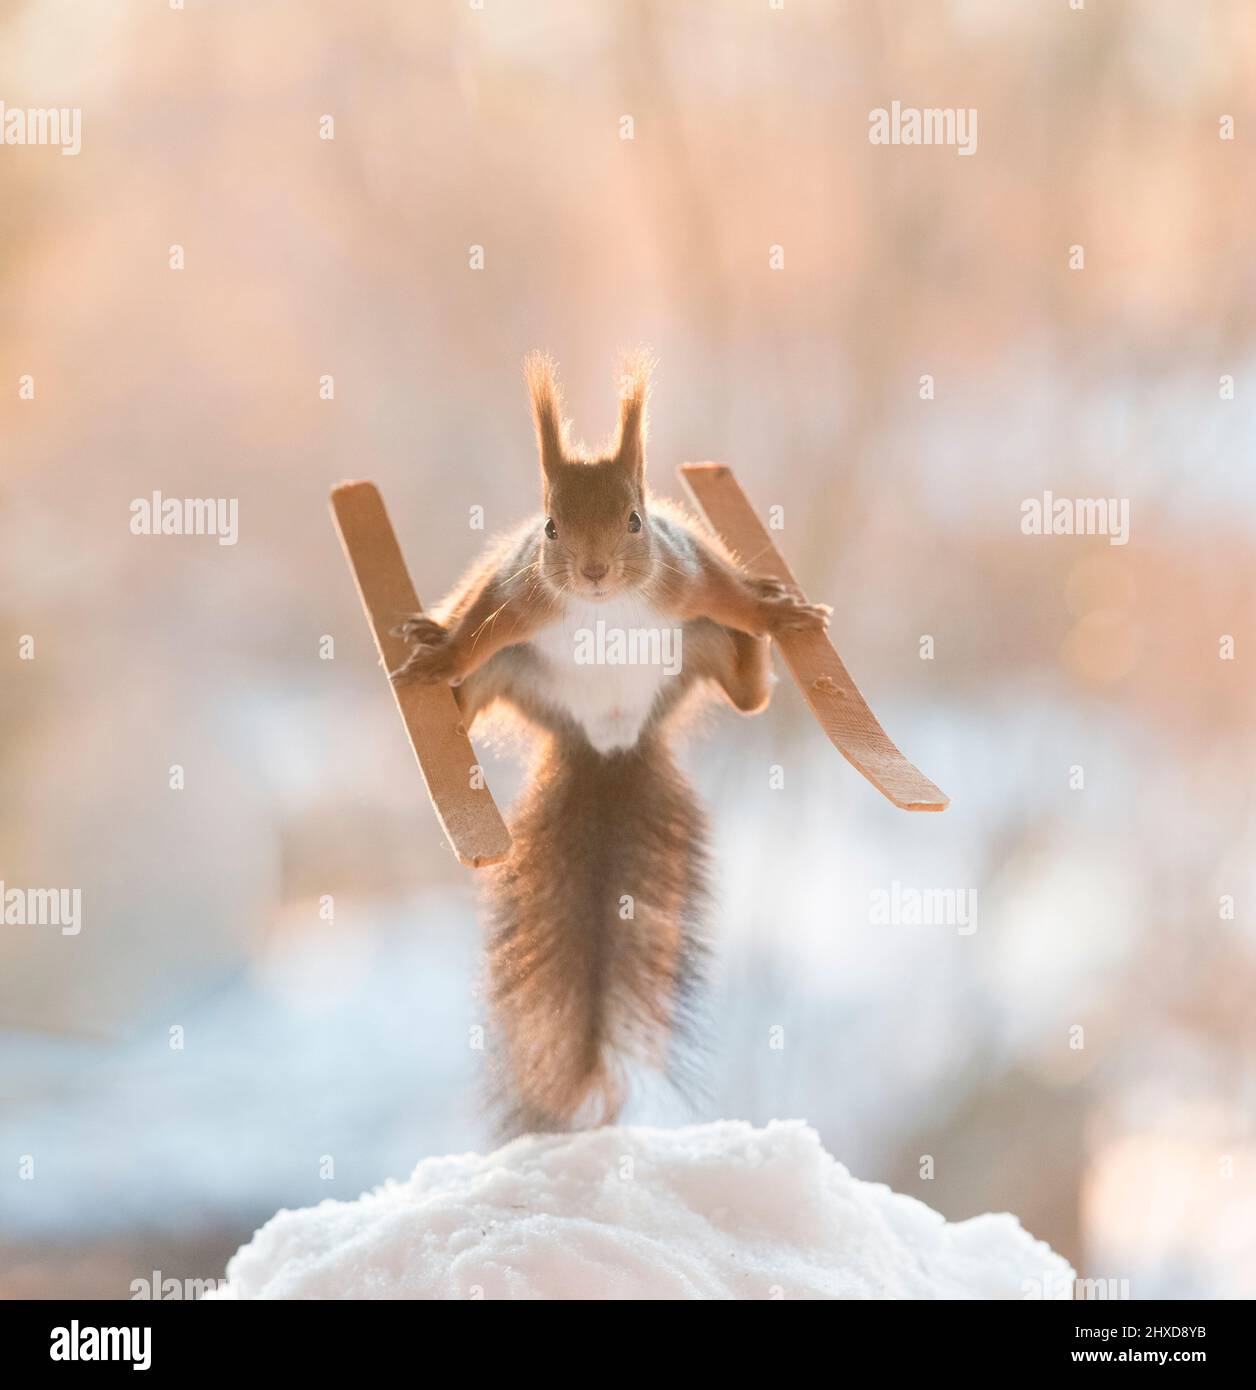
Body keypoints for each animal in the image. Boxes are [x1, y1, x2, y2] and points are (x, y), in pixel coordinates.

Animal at [393, 352, 830, 1135]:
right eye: (549, 527)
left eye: (634, 520)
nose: (594, 573)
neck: (605, 608)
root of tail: (609, 741)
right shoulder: (518, 598)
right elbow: (476, 628)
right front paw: (441, 658)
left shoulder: (687, 578)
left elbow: (734, 596)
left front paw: (775, 613)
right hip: (512, 672)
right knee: (470, 696)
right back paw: (435, 667)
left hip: (700, 645)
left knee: (747, 693)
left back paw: (760, 648)